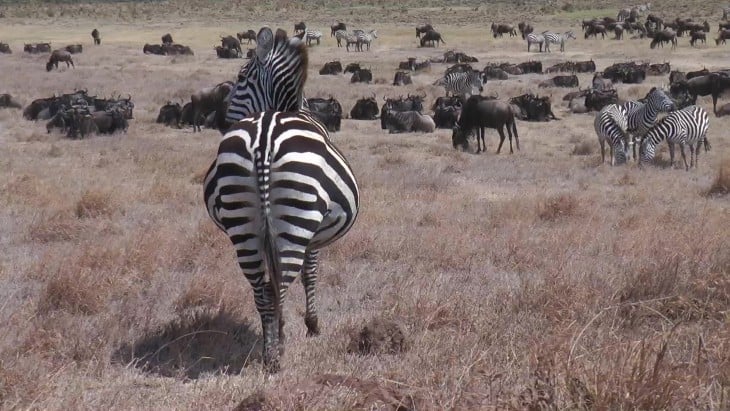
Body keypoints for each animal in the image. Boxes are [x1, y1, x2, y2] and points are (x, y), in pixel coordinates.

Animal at [205, 27, 358, 372]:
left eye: (241, 76)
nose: (218, 121)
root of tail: (264, 138)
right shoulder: (314, 235)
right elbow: (310, 272)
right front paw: (313, 324)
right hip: (297, 218)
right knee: (283, 284)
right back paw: (281, 349)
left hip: (243, 224)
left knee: (263, 289)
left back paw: (269, 351)